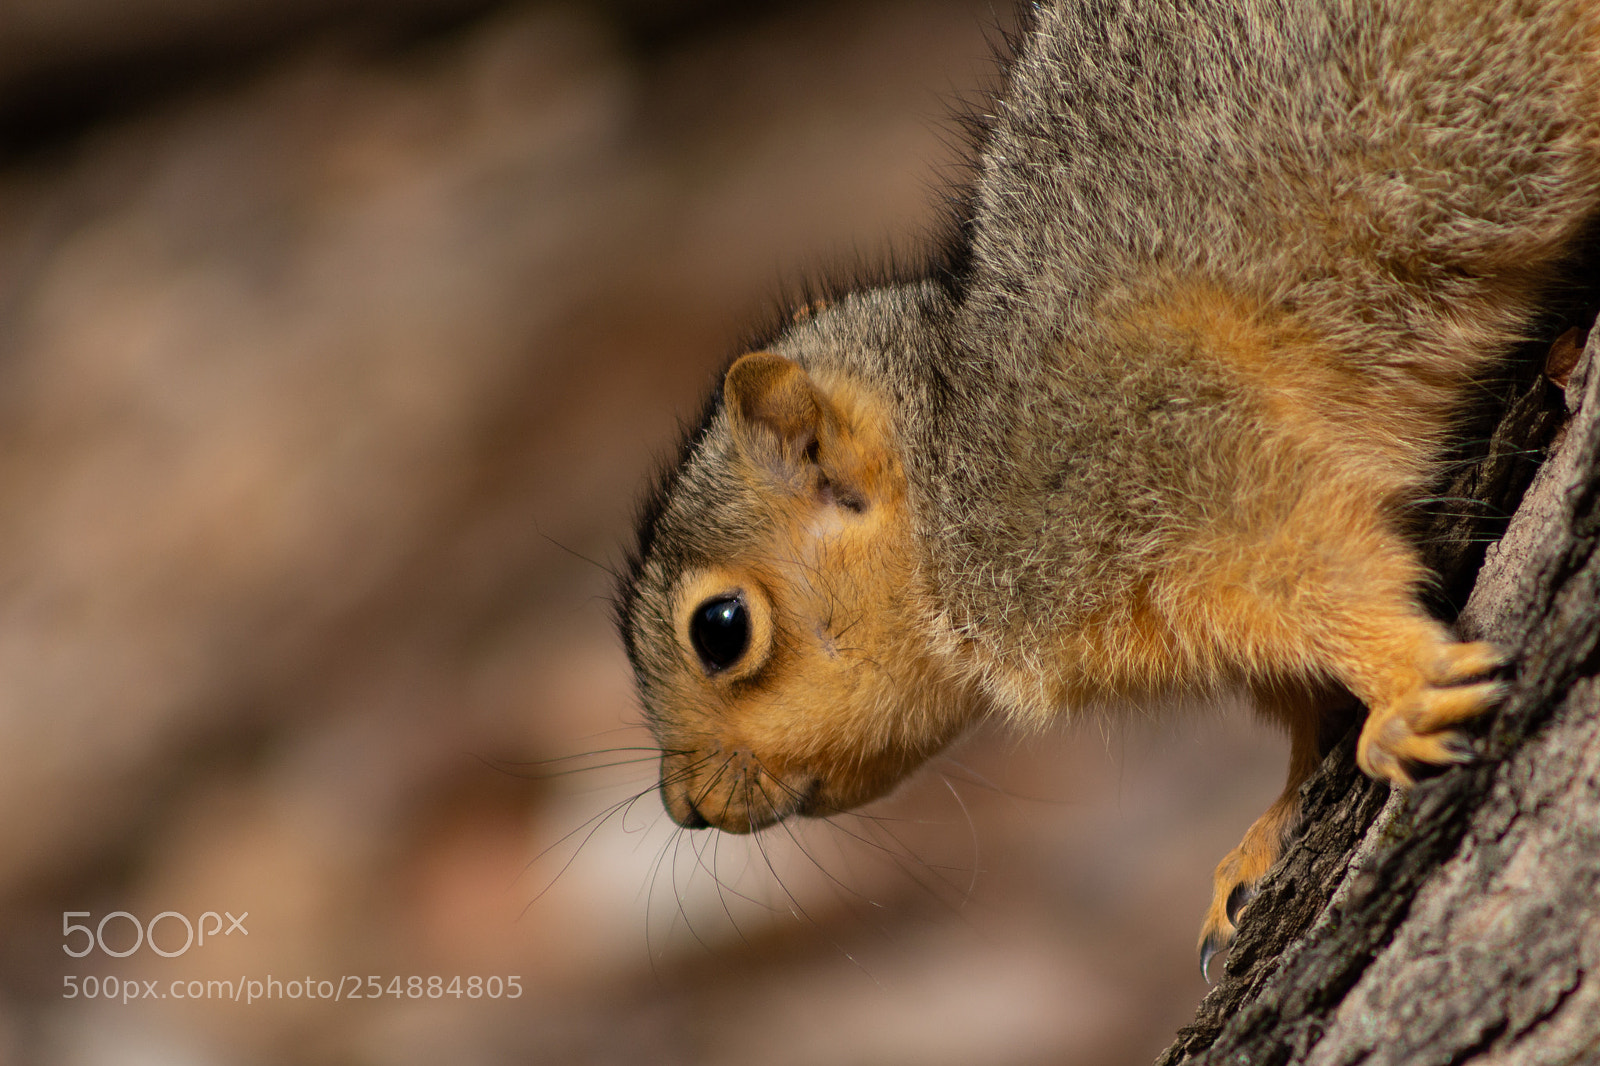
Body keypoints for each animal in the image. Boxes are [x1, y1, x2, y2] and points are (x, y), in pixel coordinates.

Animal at [613, 0, 1600, 970]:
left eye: (720, 629)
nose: (685, 806)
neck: (952, 475)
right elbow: (1304, 703)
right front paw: (1270, 828)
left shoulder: (1164, 459)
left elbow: (1309, 566)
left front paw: (1402, 684)